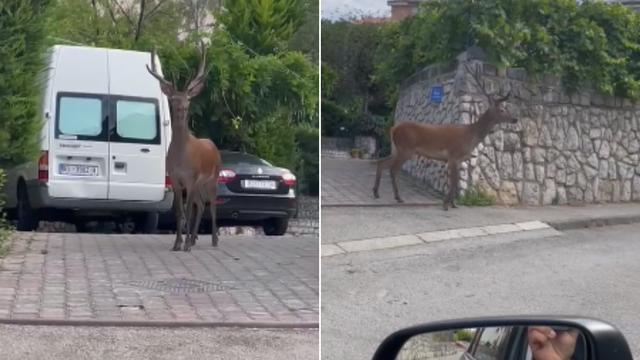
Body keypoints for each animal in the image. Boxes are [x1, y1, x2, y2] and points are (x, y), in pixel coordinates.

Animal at [146, 42, 222, 252]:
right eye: (173, 99)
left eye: (188, 98)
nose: (182, 108)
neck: (182, 156)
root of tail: (212, 145)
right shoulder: (176, 178)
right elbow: (179, 211)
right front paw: (177, 243)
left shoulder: (191, 177)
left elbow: (187, 211)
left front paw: (185, 245)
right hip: (200, 183)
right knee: (201, 204)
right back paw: (194, 238)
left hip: (213, 177)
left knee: (212, 205)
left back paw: (213, 240)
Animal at [372, 62, 516, 211]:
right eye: (502, 110)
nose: (515, 119)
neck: (471, 136)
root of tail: (393, 129)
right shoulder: (453, 155)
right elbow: (452, 180)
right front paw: (446, 204)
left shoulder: (457, 159)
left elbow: (455, 180)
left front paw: (453, 204)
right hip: (406, 148)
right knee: (392, 169)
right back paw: (398, 197)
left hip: (396, 148)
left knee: (381, 162)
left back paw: (376, 192)